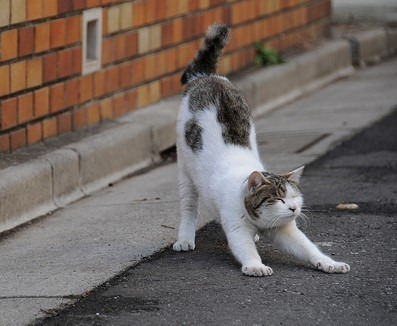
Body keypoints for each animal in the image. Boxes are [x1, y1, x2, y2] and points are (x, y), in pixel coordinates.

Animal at [173, 23, 350, 278]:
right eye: (278, 199)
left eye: (294, 197)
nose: (295, 208)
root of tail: (207, 77)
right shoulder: (237, 228)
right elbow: (245, 248)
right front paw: (256, 265)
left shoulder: (286, 230)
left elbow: (309, 249)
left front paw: (330, 263)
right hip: (185, 172)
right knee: (188, 206)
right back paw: (185, 239)